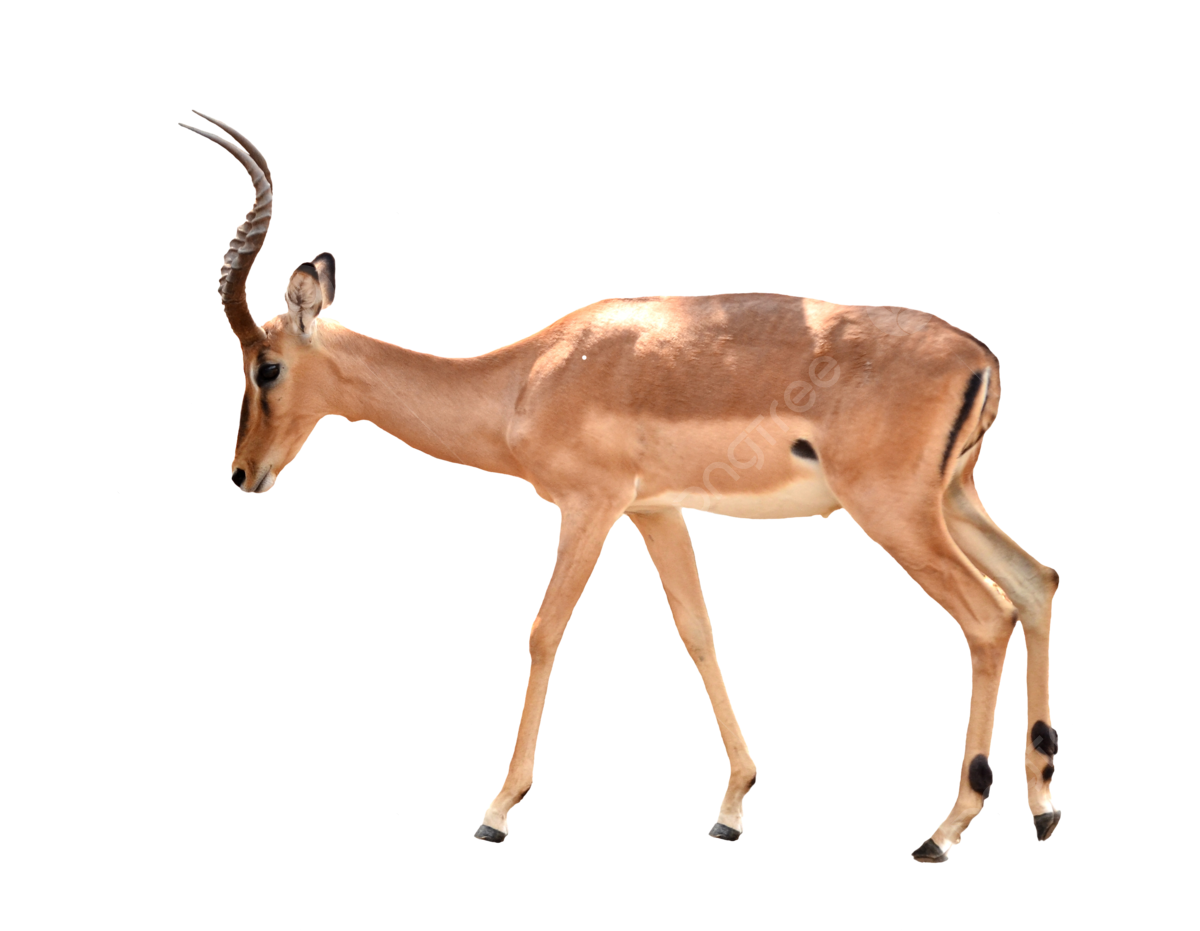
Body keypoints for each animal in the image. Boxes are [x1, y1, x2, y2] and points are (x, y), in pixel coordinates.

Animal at [181, 111, 1062, 861]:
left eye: (264, 365)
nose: (243, 473)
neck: (524, 378)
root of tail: (980, 358)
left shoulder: (591, 509)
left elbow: (544, 630)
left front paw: (497, 810)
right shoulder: (657, 511)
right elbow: (698, 629)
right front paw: (731, 807)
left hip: (896, 514)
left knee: (986, 615)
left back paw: (942, 832)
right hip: (952, 503)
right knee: (1035, 582)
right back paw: (1043, 806)